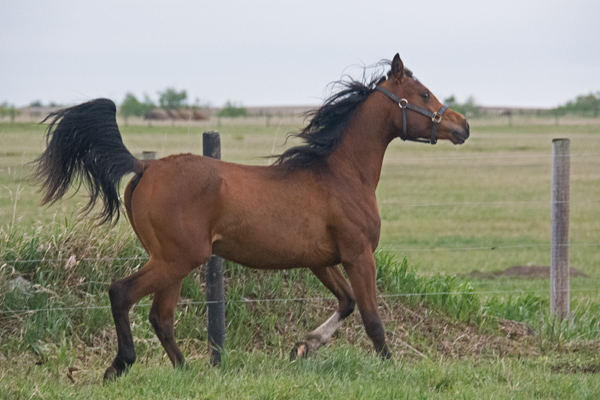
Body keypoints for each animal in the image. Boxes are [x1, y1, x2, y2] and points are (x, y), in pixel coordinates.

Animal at [34, 53, 468, 382]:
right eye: (423, 93)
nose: (462, 125)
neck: (341, 174)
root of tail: (145, 166)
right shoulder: (358, 255)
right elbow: (371, 316)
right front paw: (391, 367)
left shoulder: (320, 260)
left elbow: (345, 303)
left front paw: (303, 346)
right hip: (178, 258)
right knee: (122, 294)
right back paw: (121, 366)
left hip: (172, 261)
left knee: (161, 316)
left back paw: (187, 372)